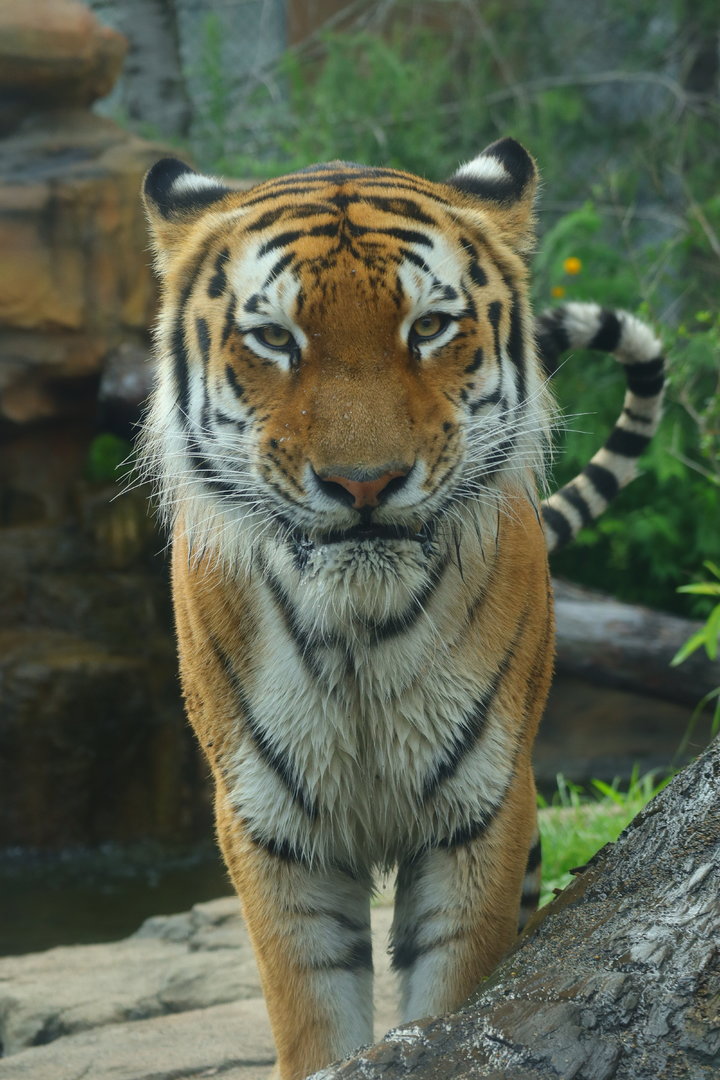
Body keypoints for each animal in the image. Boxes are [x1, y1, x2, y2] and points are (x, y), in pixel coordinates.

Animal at [139, 138, 665, 1080]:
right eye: (275, 338)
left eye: (428, 328)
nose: (364, 484)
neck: (360, 627)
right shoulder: (269, 824)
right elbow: (311, 1008)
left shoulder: (479, 810)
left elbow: (454, 985)